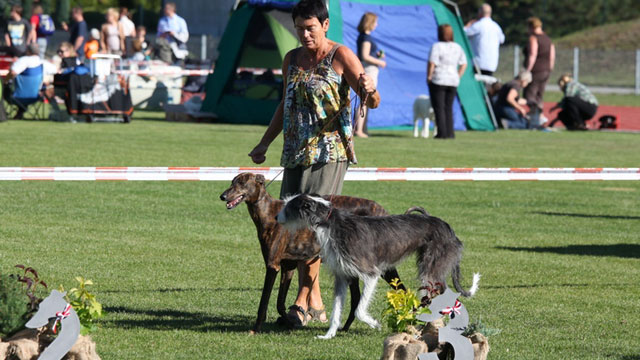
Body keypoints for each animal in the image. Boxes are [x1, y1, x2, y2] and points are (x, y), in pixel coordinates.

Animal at [218, 173, 402, 334]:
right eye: (232, 181)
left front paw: (256, 329)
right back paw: (345, 327)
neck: (268, 212)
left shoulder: (272, 266)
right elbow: (280, 303)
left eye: (242, 183)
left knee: (401, 288)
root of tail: (383, 211)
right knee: (356, 298)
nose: (222, 196)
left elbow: (264, 302)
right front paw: (290, 322)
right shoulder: (287, 267)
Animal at [276, 193, 480, 338]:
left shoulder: (371, 273)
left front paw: (375, 323)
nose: (277, 217)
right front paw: (329, 335)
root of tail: (448, 228)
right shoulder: (342, 276)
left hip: (430, 268)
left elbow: (358, 309)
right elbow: (336, 311)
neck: (329, 223)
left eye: (288, 206)